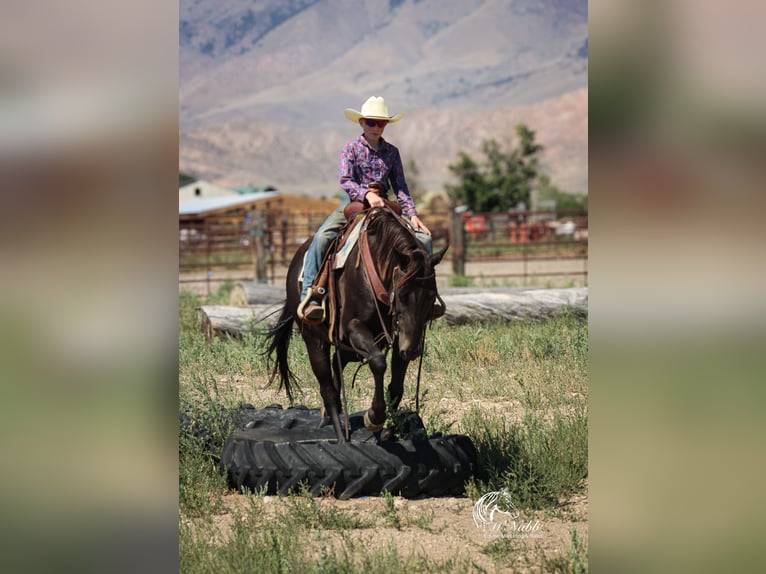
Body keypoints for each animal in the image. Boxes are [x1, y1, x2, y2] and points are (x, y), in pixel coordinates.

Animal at [265, 206, 448, 443]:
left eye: (431, 296)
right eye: (402, 294)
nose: (413, 350)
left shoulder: (400, 335)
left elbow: (396, 386)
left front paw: (389, 430)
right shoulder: (353, 328)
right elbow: (378, 363)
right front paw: (375, 417)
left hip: (349, 347)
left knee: (337, 365)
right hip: (315, 340)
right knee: (327, 387)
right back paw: (340, 435)